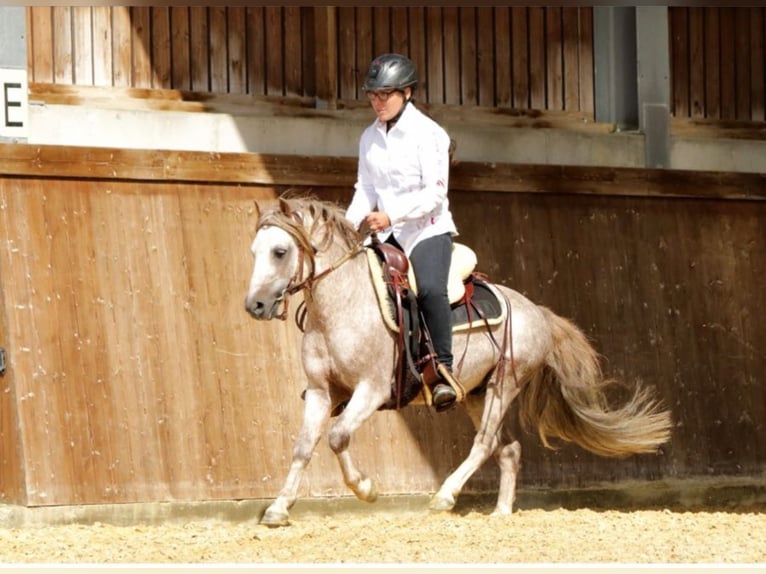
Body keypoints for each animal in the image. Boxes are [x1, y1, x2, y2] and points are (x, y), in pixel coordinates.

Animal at [246, 196, 672, 528]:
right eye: (254, 251)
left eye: (280, 251)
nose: (256, 305)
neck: (344, 303)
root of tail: (535, 311)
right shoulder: (322, 392)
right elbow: (303, 447)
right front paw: (279, 508)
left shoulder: (371, 390)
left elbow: (337, 437)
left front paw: (366, 489)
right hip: (475, 394)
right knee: (507, 448)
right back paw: (501, 512)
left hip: (503, 385)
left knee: (484, 444)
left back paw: (445, 496)